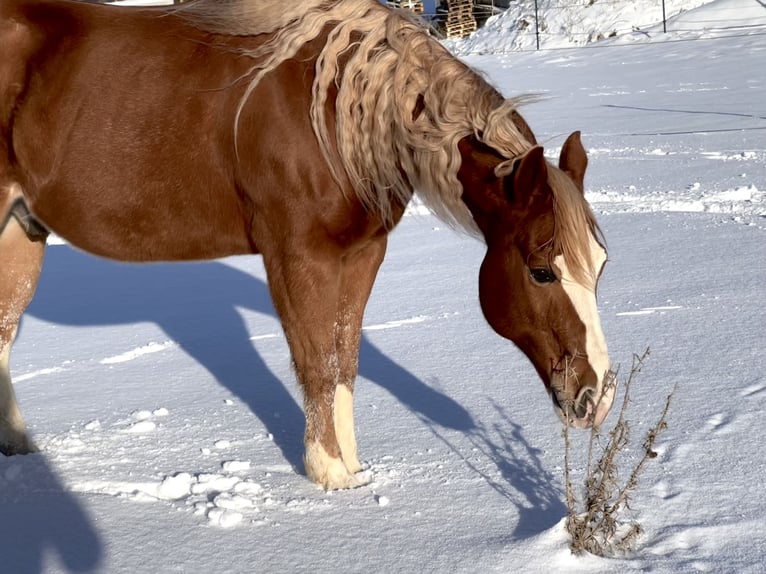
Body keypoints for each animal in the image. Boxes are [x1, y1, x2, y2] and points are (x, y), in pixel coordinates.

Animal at [0, 0, 616, 490]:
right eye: (541, 270)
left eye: (602, 267)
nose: (597, 398)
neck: (339, 114)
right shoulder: (298, 258)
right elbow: (317, 362)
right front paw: (329, 477)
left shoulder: (362, 255)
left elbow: (345, 360)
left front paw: (355, 469)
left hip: (20, 235)